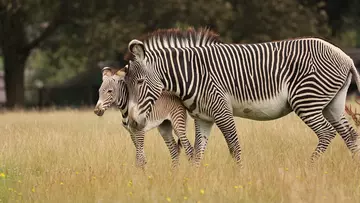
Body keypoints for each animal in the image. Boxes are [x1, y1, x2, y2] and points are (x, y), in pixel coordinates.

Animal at [123, 27, 360, 167]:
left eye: (140, 83)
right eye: (125, 85)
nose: (133, 123)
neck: (192, 74)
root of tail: (346, 57)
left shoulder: (222, 111)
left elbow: (234, 147)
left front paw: (240, 177)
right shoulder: (203, 118)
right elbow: (198, 152)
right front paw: (192, 181)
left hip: (307, 100)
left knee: (327, 133)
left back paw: (309, 168)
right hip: (333, 104)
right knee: (349, 134)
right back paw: (353, 168)